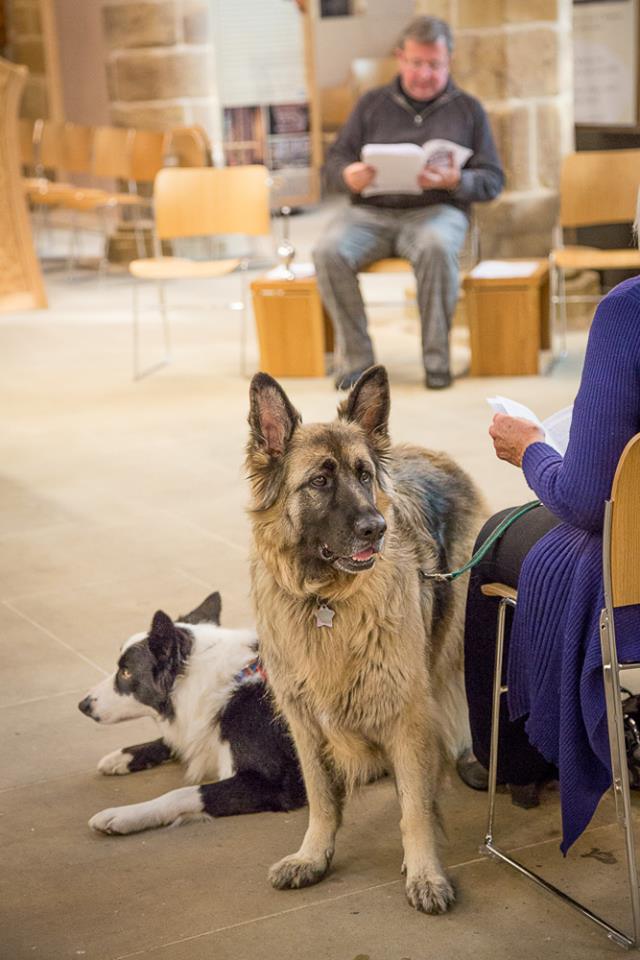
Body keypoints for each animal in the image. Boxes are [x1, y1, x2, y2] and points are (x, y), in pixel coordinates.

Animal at [79, 592, 306, 832]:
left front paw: (124, 815)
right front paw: (123, 757)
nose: (82, 705)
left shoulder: (273, 784)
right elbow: (173, 740)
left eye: (126, 672)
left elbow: (182, 794)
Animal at [248, 366, 482, 916]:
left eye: (364, 476)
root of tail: (432, 453)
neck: (325, 600)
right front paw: (313, 855)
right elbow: (321, 800)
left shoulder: (407, 712)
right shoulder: (304, 721)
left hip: (456, 635)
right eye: (320, 480)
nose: (375, 529)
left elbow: (415, 808)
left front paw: (424, 872)